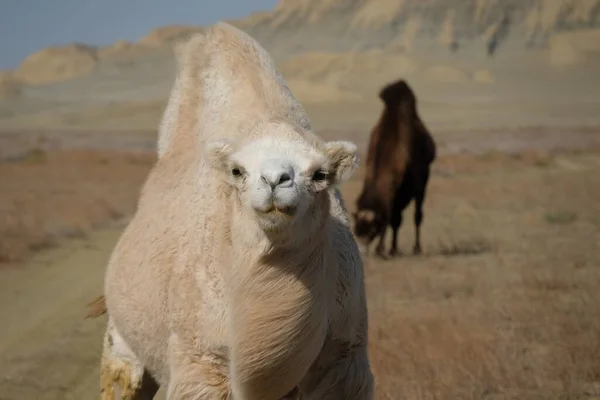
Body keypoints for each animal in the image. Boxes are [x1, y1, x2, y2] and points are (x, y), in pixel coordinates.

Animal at [100, 21, 372, 400]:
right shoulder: (203, 361)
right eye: (237, 171)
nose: (275, 180)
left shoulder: (345, 358)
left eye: (320, 174)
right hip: (123, 337)